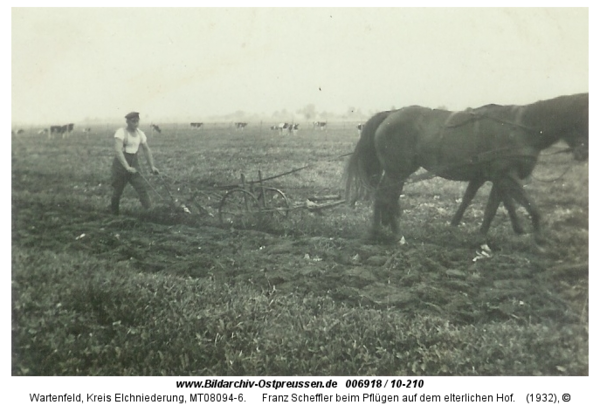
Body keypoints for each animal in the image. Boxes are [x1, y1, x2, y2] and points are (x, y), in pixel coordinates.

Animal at [344, 93, 588, 243]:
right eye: (583, 119)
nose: (583, 153)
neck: (520, 128)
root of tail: (390, 114)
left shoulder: (496, 176)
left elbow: (492, 206)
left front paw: (482, 235)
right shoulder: (506, 175)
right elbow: (529, 204)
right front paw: (538, 237)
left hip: (400, 171)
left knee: (388, 195)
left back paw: (384, 230)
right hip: (398, 170)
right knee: (384, 194)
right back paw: (391, 234)